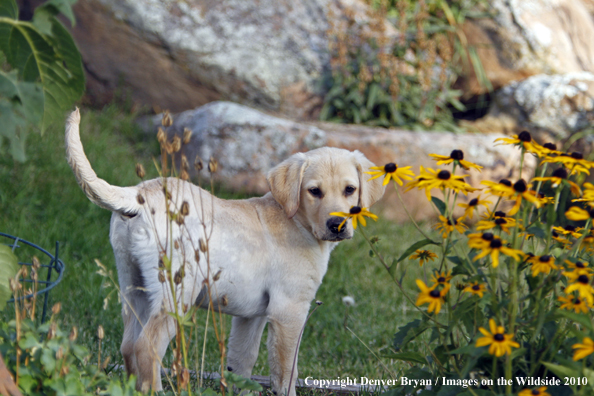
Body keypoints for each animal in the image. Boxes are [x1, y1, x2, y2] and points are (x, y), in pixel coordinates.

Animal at [63, 109, 384, 396]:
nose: (337, 225)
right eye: (314, 191)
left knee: (129, 346)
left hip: (135, 288)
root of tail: (139, 193)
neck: (296, 221)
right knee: (147, 347)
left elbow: (241, 365)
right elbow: (285, 373)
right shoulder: (289, 311)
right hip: (176, 294)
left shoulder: (251, 317)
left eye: (349, 190)